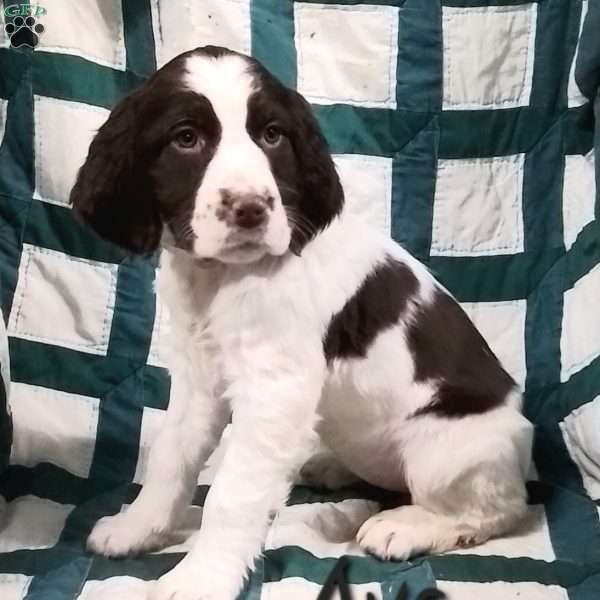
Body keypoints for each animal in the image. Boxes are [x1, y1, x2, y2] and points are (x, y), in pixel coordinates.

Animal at [68, 47, 532, 600]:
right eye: (186, 138)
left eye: (272, 135)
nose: (251, 209)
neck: (222, 278)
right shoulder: (199, 378)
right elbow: (169, 456)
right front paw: (137, 529)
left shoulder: (275, 390)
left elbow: (232, 494)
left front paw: (200, 578)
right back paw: (328, 465)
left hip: (445, 448)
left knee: (499, 509)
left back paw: (407, 525)